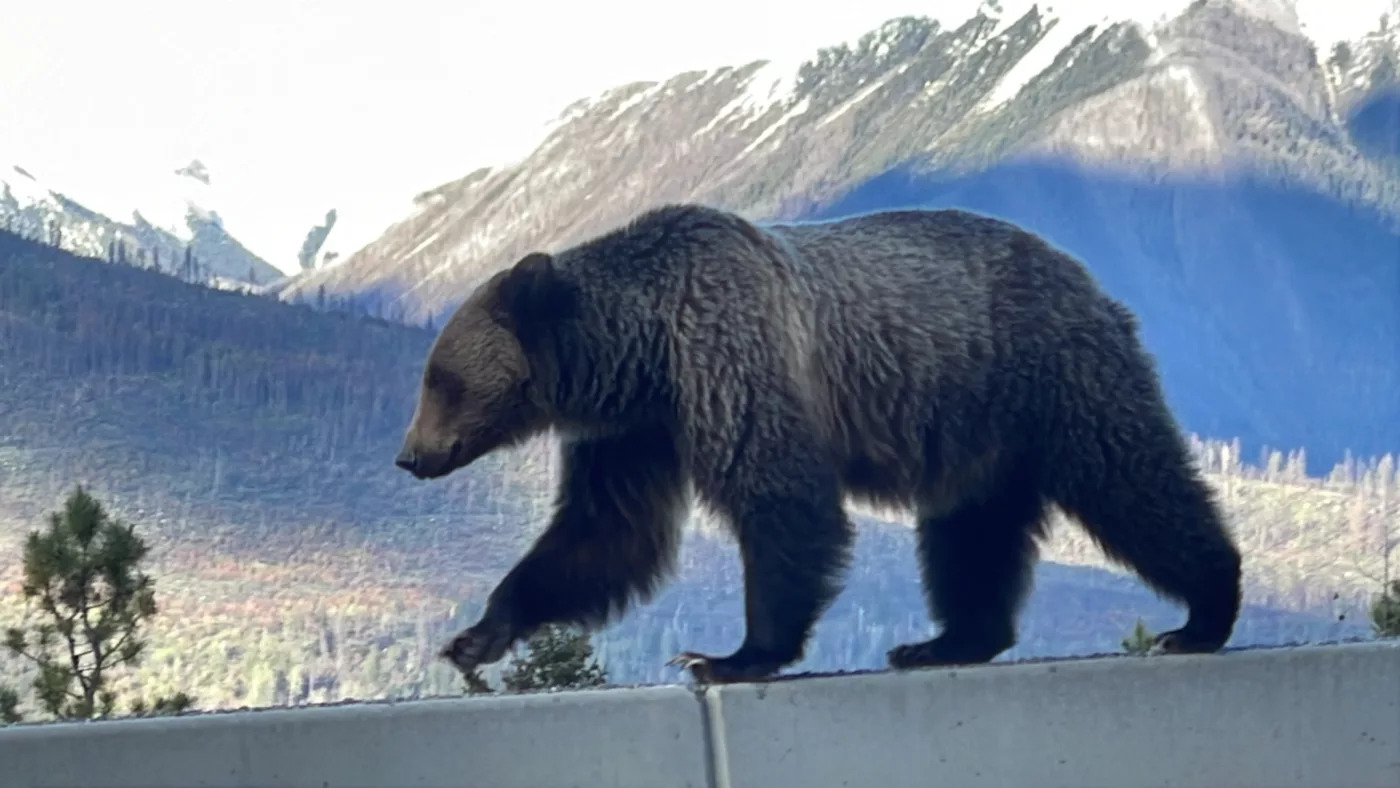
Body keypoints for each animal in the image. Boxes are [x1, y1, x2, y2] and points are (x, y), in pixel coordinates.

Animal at [400, 201, 1243, 685]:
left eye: (441, 379)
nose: (411, 456)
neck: (641, 351)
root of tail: (1087, 279)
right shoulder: (635, 429)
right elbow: (604, 534)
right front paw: (478, 635)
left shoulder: (730, 357)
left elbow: (781, 499)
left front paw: (727, 655)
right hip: (977, 428)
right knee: (971, 534)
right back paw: (946, 641)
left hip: (1048, 374)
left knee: (1129, 478)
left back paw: (1201, 614)